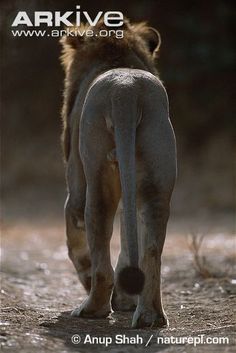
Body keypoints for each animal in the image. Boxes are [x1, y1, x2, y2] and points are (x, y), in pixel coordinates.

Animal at [60, 19, 176, 328]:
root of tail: (127, 90)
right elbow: (128, 235)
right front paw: (125, 301)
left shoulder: (75, 182)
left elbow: (77, 238)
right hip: (156, 176)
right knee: (151, 248)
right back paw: (150, 316)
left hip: (95, 170)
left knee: (97, 227)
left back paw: (92, 308)